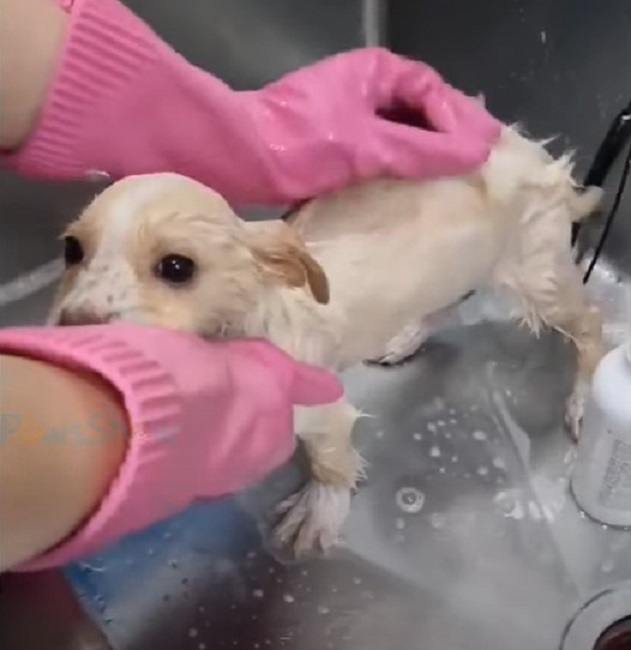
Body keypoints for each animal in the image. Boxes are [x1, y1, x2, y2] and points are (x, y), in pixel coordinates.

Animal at [50, 123, 608, 552]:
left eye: (176, 267)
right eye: (72, 250)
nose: (74, 329)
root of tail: (535, 153)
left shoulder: (324, 409)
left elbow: (330, 461)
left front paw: (318, 513)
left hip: (539, 275)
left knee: (593, 328)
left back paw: (583, 399)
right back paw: (406, 338)